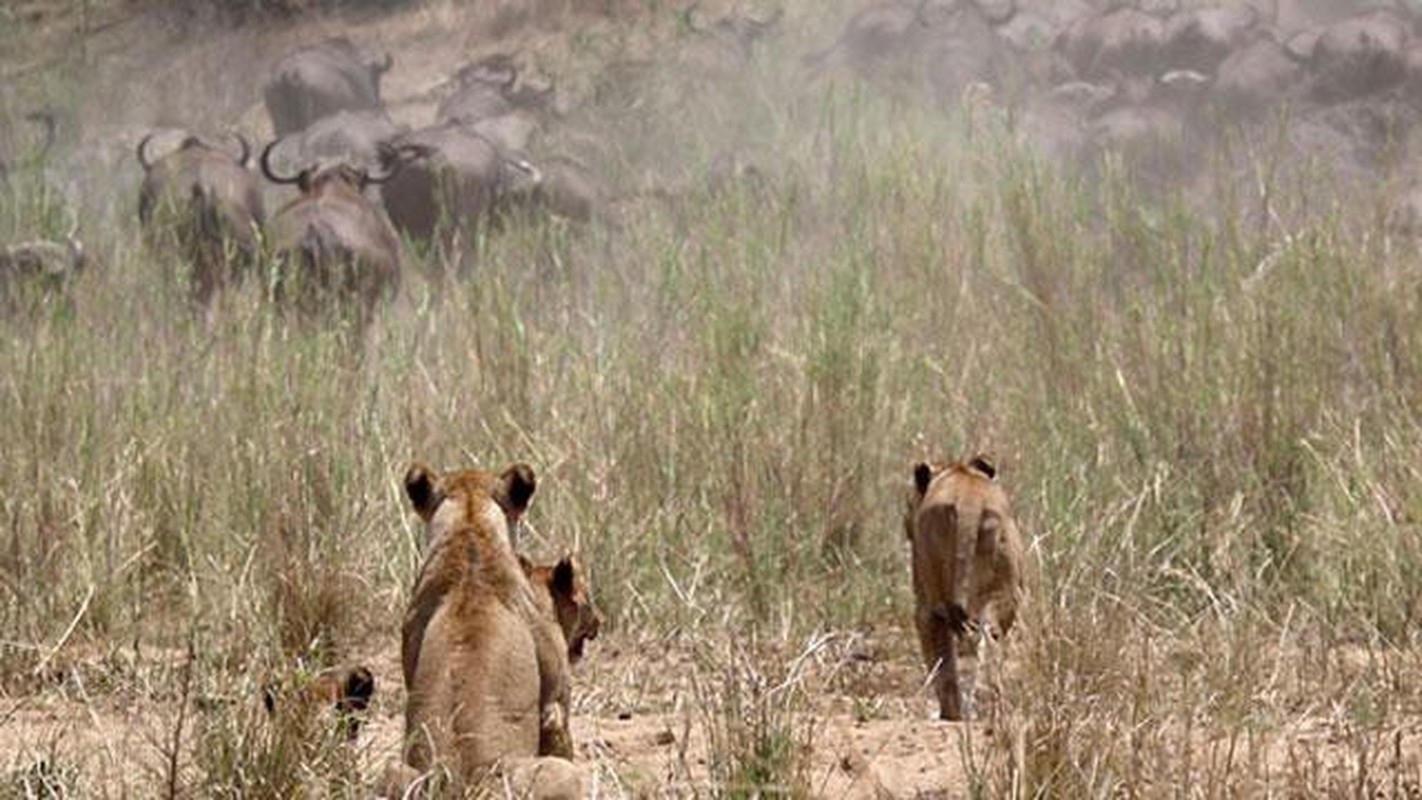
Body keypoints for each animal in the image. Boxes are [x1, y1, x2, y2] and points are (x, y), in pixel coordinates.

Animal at [910, 454, 1023, 721]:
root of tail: (968, 502)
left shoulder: (924, 607)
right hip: (1003, 595)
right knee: (991, 640)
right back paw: (993, 709)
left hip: (934, 601)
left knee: (947, 665)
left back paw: (954, 714)